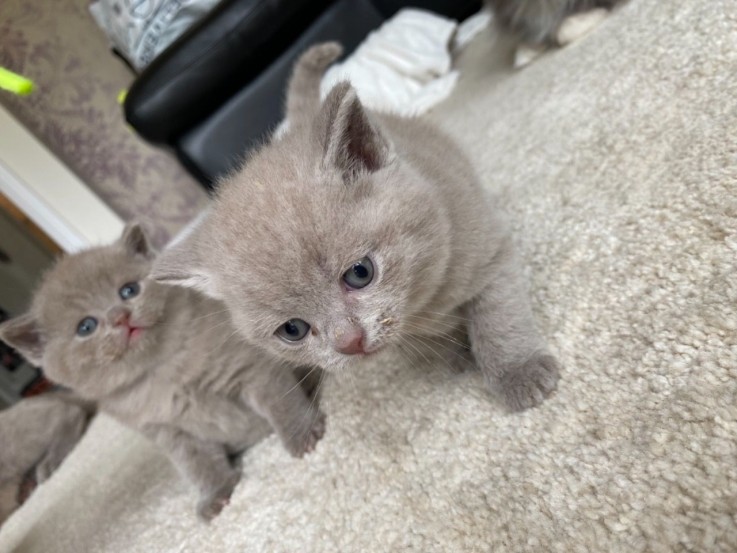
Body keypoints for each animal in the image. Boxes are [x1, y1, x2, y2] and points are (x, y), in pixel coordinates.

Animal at [152, 43, 560, 412]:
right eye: (292, 330)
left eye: (360, 273)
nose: (349, 341)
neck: (422, 303)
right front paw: (452, 355)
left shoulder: (489, 252)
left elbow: (498, 319)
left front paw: (520, 372)